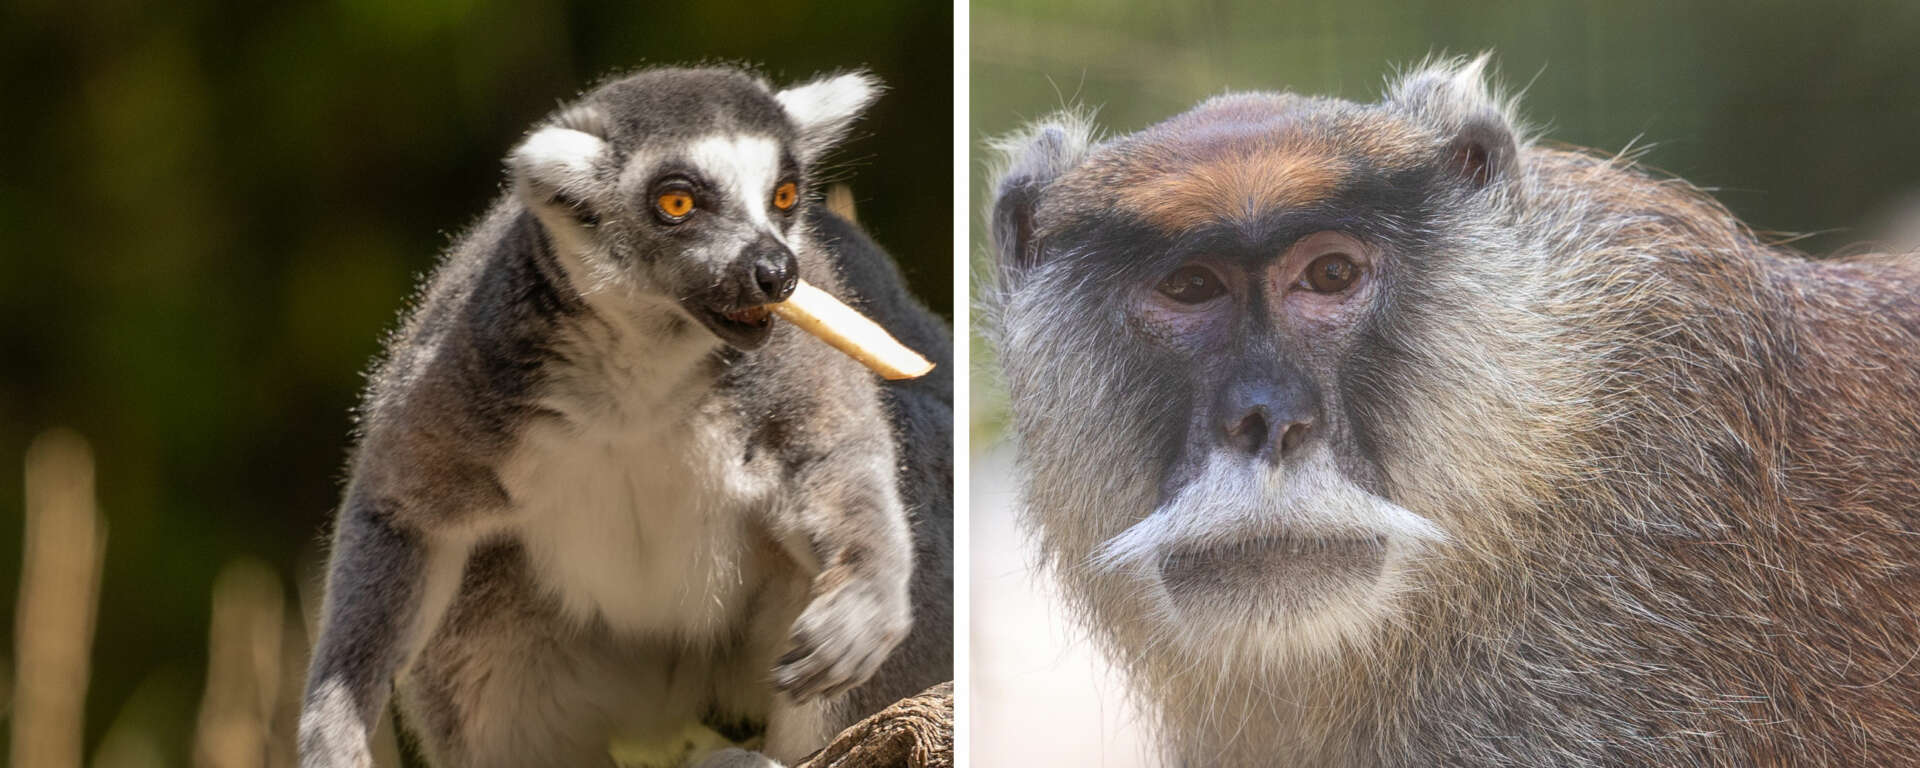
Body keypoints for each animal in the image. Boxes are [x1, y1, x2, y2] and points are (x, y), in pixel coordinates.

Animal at [297, 66, 953, 768]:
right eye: (677, 204)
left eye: (784, 195)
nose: (775, 272)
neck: (640, 372)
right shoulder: (472, 361)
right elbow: (400, 515)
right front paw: (334, 730)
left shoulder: (795, 358)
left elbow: (838, 456)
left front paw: (864, 599)